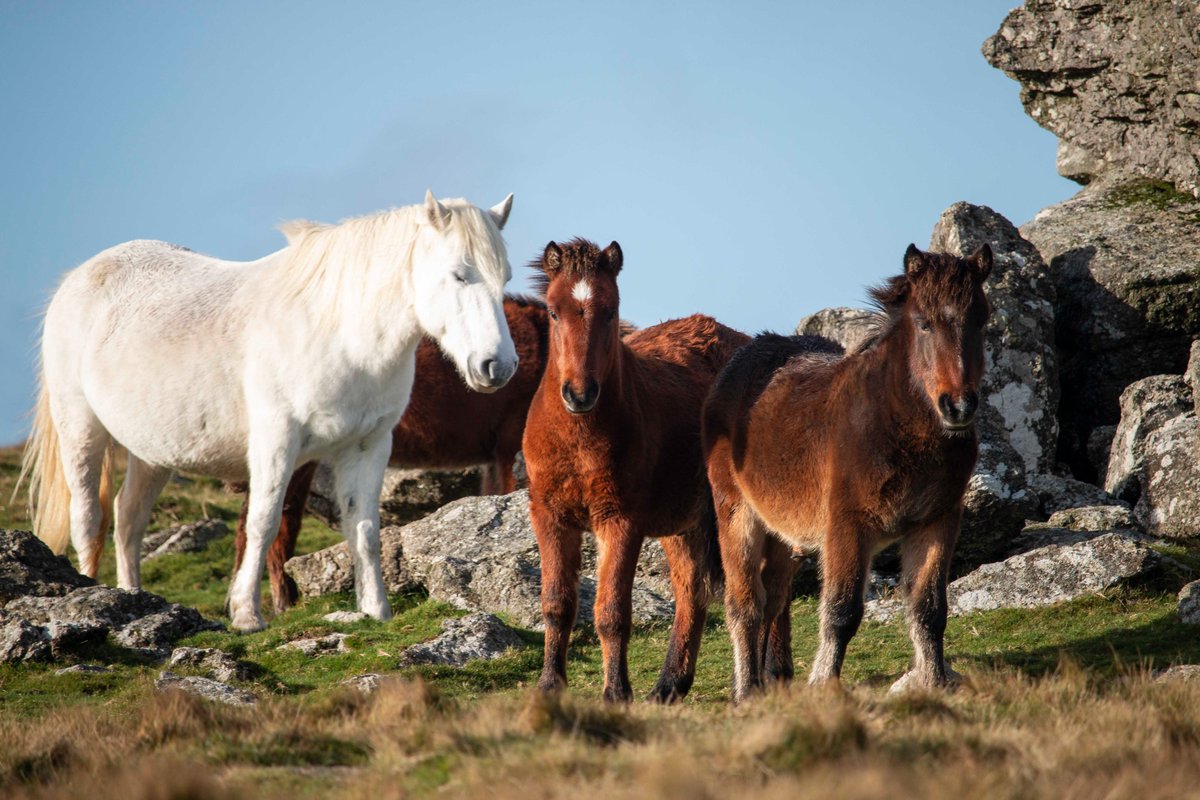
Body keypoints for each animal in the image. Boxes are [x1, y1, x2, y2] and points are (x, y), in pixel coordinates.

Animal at [522, 238, 750, 703]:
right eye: (553, 311)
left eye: (611, 310)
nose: (579, 394)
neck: (577, 436)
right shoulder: (549, 516)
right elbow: (557, 604)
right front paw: (550, 684)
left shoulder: (620, 521)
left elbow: (611, 611)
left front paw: (615, 692)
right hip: (684, 524)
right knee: (691, 592)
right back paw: (668, 685)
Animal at [703, 243, 993, 702]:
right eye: (924, 324)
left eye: (981, 321)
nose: (959, 406)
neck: (895, 423)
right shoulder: (847, 526)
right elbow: (841, 612)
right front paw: (823, 685)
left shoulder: (937, 522)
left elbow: (929, 610)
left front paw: (934, 684)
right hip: (737, 516)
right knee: (745, 603)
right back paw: (747, 691)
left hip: (783, 534)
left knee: (773, 599)